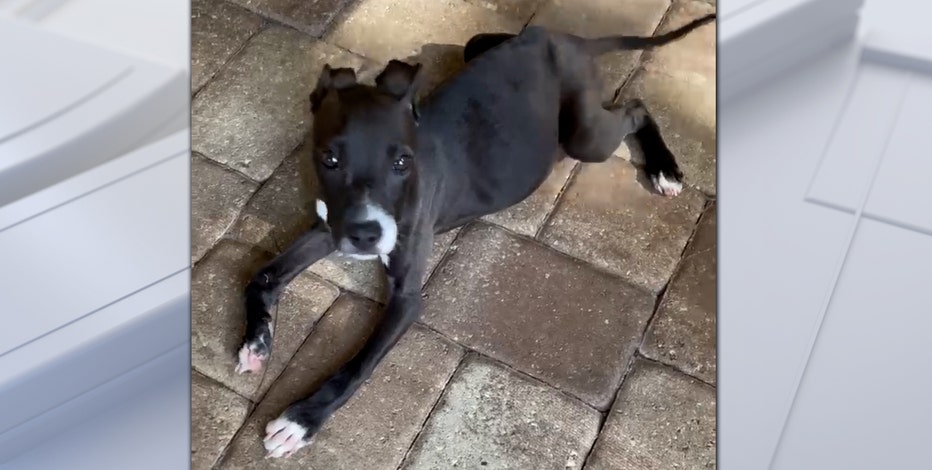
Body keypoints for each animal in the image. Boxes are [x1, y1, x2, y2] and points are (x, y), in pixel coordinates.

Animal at [235, 13, 712, 456]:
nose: (365, 236)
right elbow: (261, 276)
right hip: (478, 44)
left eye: (403, 162)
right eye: (330, 159)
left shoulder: (407, 297)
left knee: (635, 107)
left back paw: (665, 169)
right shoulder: (329, 225)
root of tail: (566, 40)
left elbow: (356, 367)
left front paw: (300, 420)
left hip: (585, 136)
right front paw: (257, 340)